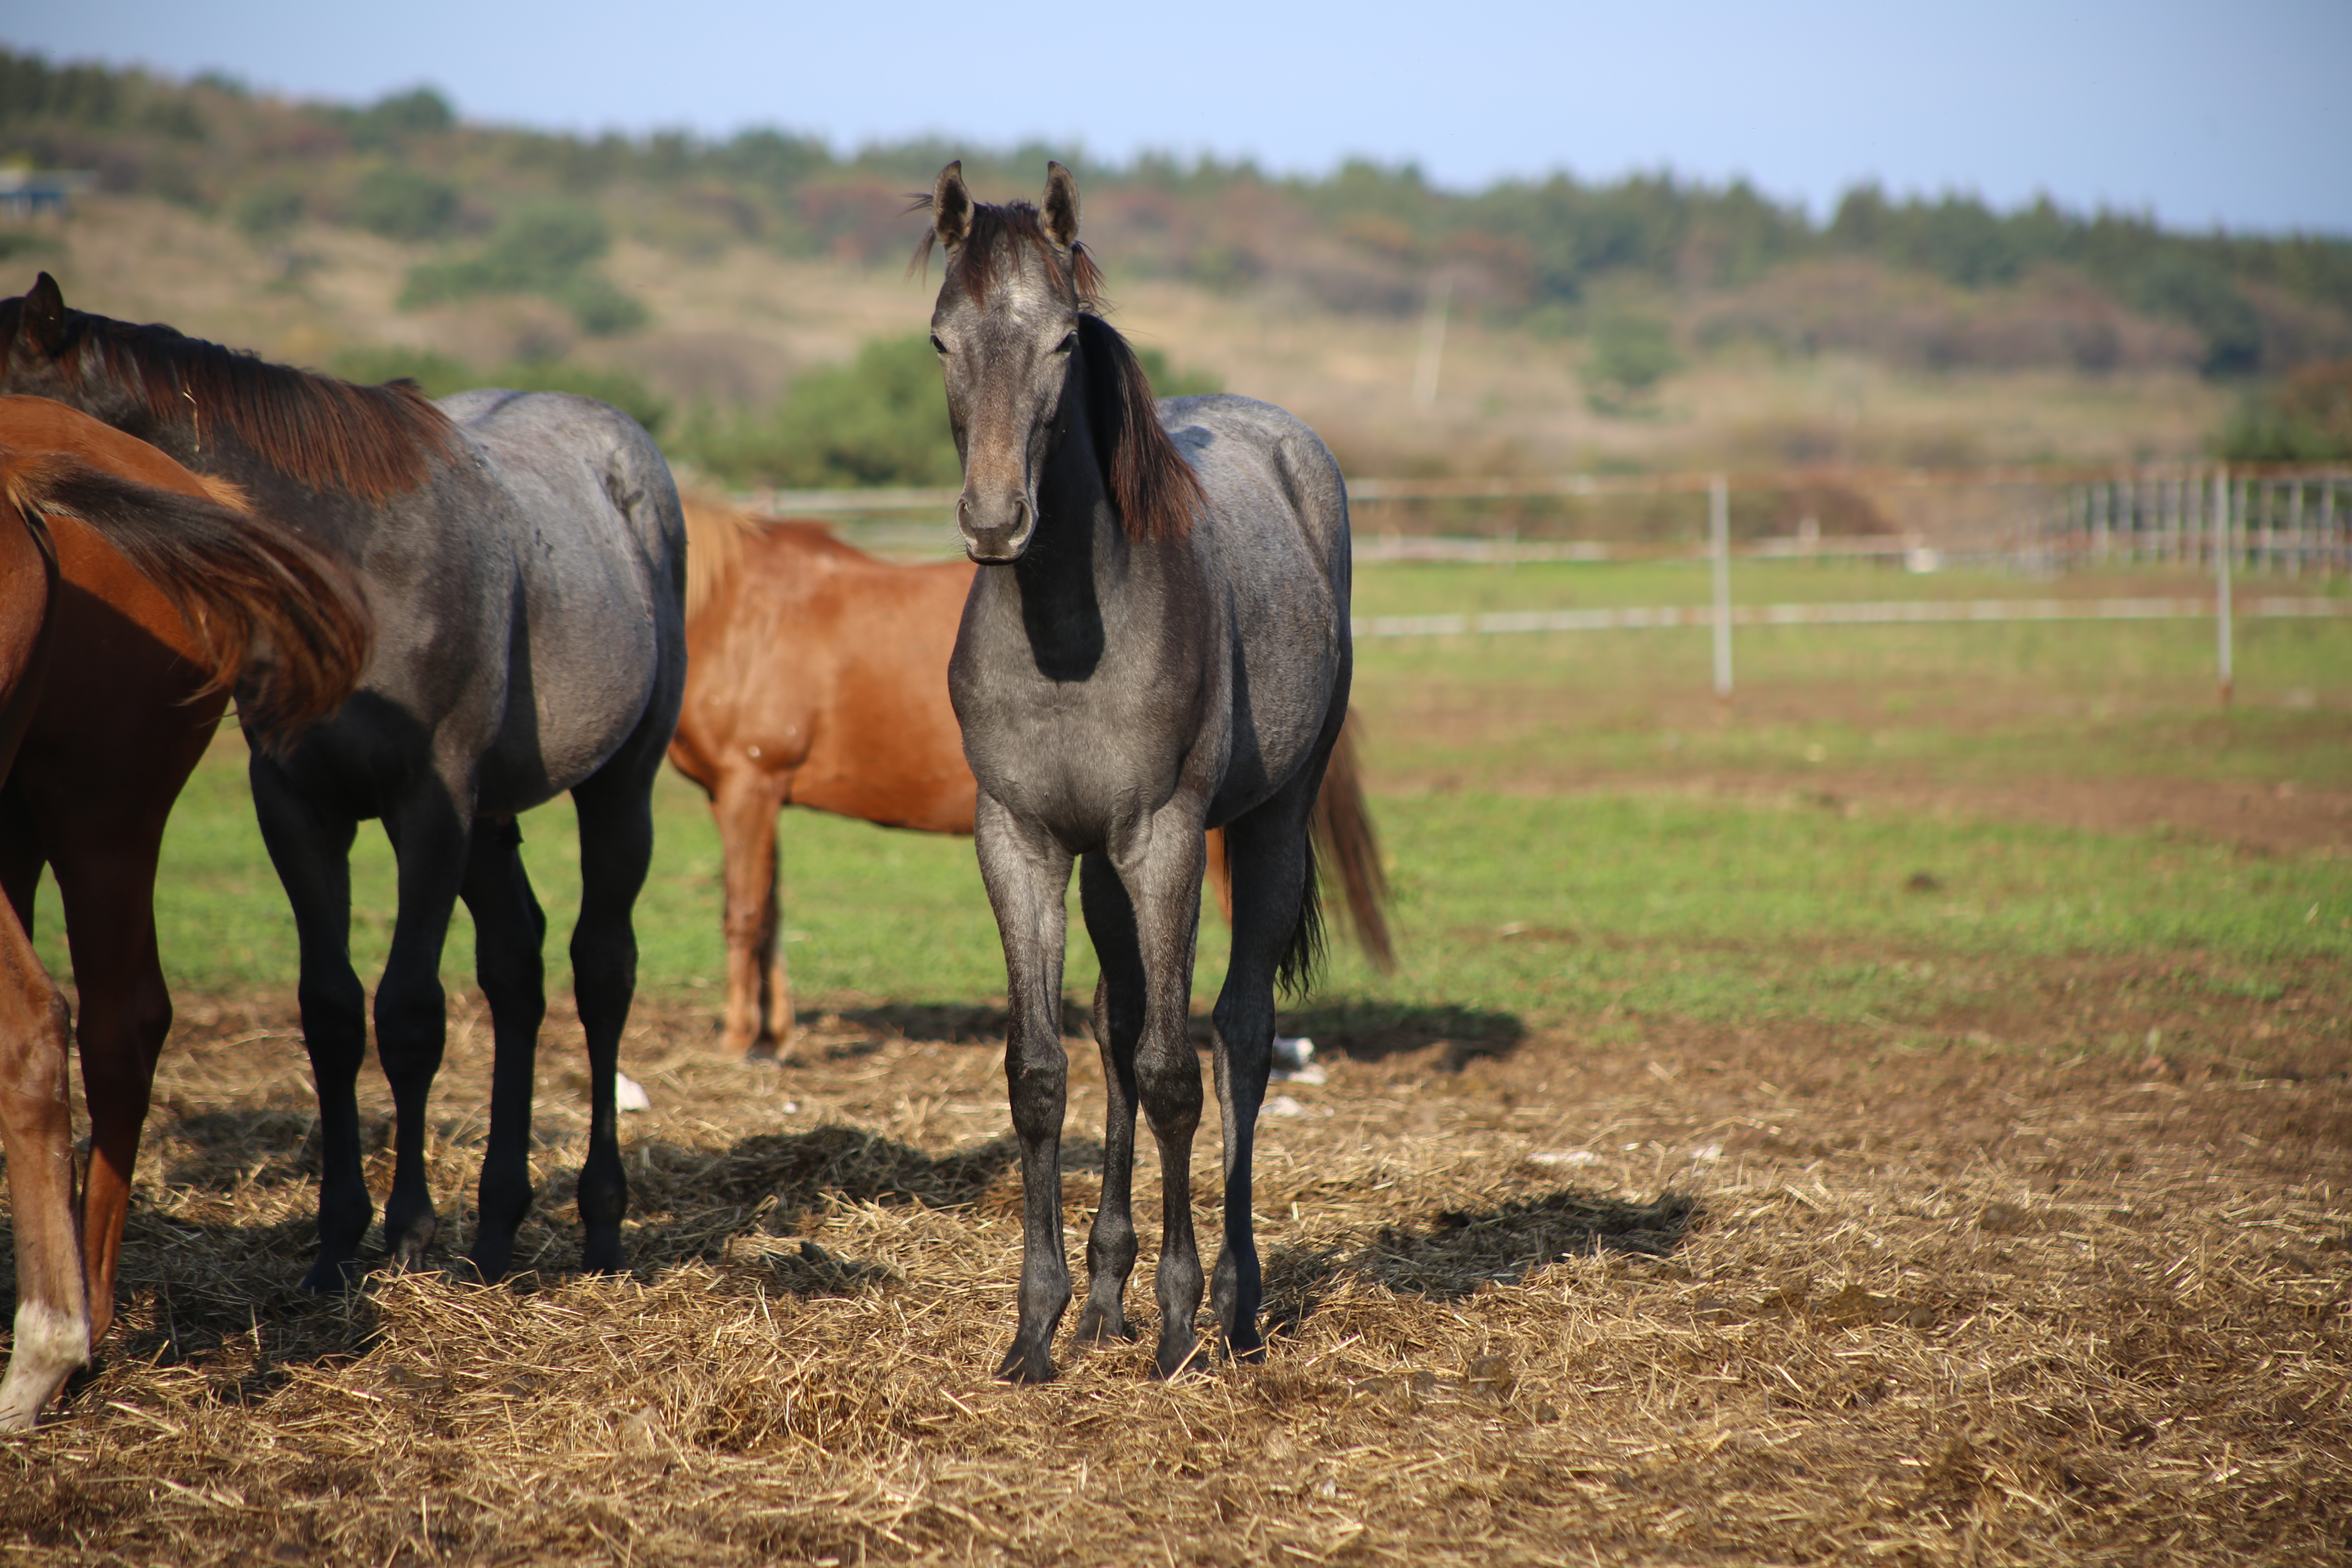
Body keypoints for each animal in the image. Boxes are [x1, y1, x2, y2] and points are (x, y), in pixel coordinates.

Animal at [0, 276, 686, 1297]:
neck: (355, 562)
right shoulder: (297, 804)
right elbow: (329, 1012)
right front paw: (335, 1245)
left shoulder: (428, 805)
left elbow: (409, 1015)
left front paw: (407, 1235)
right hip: (490, 824)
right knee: (515, 970)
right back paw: (496, 1230)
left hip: (617, 792)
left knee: (601, 972)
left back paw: (601, 1228)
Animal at [668, 496, 1392, 1062]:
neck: (735, 608)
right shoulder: (759, 794)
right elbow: (771, 912)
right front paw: (772, 1037)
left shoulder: (748, 784)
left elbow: (744, 912)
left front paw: (738, 1039)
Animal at [917, 165, 1364, 1382]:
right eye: (940, 338)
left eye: (1064, 339)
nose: (993, 518)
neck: (1072, 627)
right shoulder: (1022, 841)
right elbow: (1043, 1074)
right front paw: (1037, 1327)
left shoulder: (1163, 837)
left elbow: (1174, 1070)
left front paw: (1176, 1325)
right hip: (1105, 869)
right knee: (1115, 1032)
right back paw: (1105, 1299)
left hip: (1264, 828)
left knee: (1239, 1039)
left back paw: (1236, 1308)